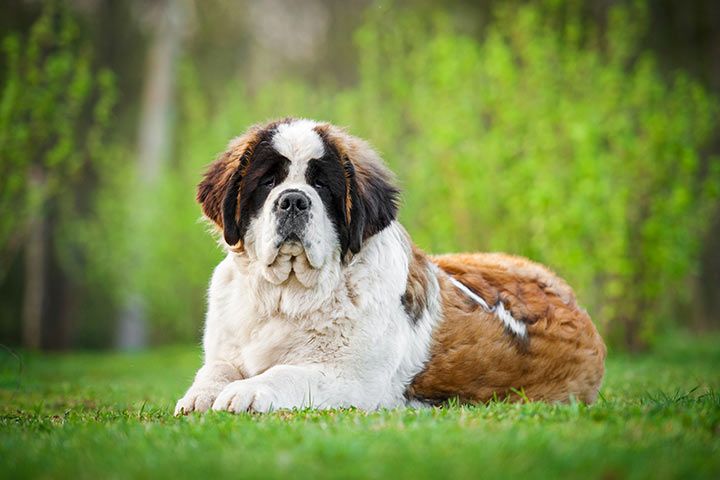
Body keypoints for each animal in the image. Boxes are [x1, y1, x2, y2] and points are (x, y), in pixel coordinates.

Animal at [176, 118, 608, 414]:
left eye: (323, 186)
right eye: (267, 183)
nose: (294, 200)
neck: (287, 296)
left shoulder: (352, 379)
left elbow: (289, 372)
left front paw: (247, 391)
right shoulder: (227, 349)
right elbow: (214, 370)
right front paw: (199, 397)